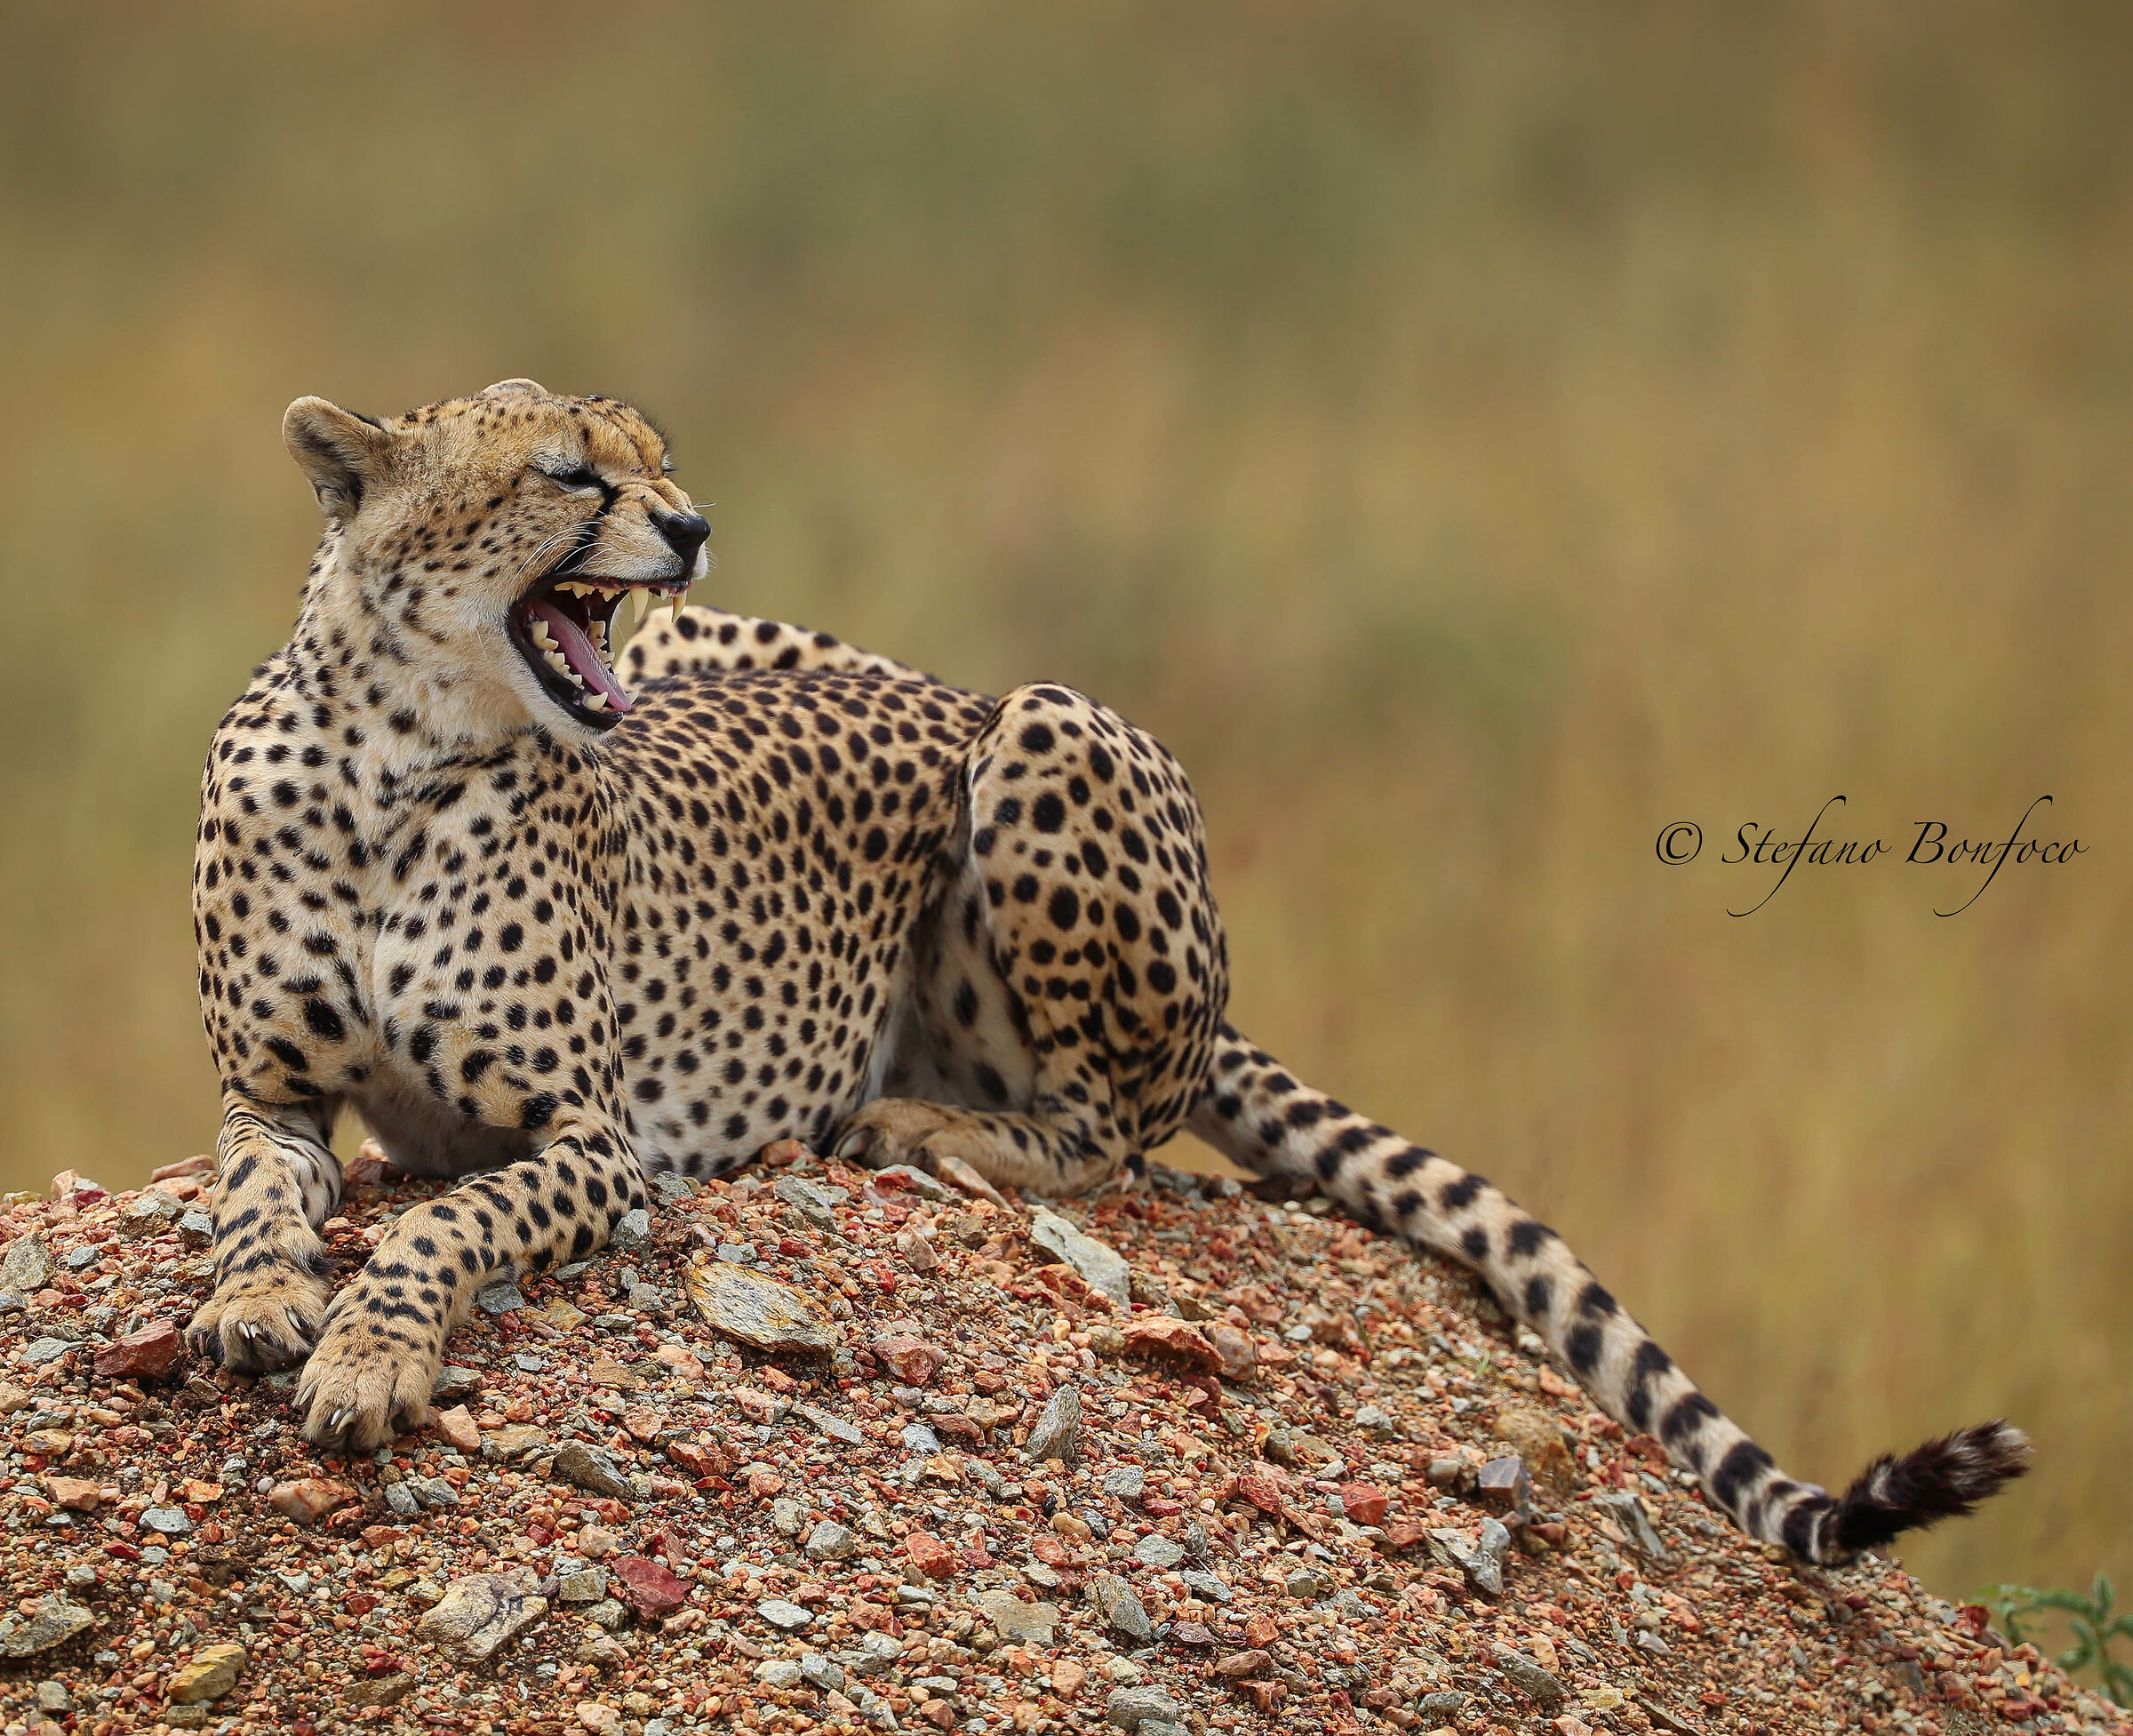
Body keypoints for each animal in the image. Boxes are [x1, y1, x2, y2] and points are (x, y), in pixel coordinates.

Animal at [185, 379, 2026, 1566]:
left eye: (662, 464)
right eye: (576, 474)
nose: (696, 528)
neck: (392, 763)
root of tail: (940, 685)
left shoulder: (595, 1135)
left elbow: (443, 1218)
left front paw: (370, 1349)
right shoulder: (269, 1094)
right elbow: (265, 1188)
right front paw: (263, 1297)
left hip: (1044, 725)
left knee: (1117, 1126)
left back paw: (921, 1126)